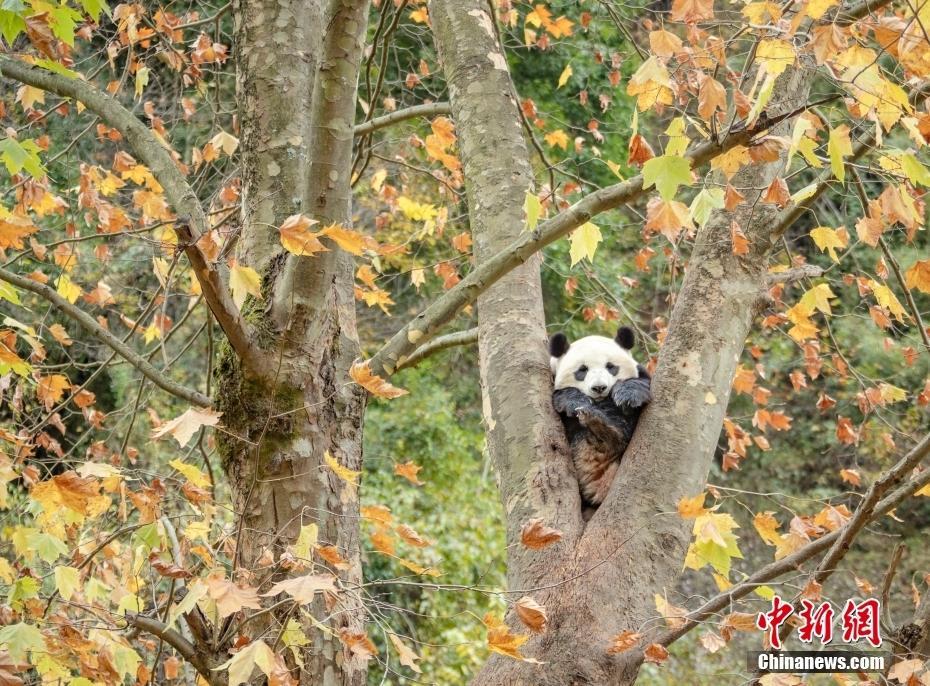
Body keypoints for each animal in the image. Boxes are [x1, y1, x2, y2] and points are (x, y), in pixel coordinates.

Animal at [548, 326, 648, 516]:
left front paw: (627, 395)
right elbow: (562, 396)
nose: (599, 387)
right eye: (582, 370)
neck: (601, 402)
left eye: (611, 367)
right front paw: (576, 402)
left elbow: (640, 383)